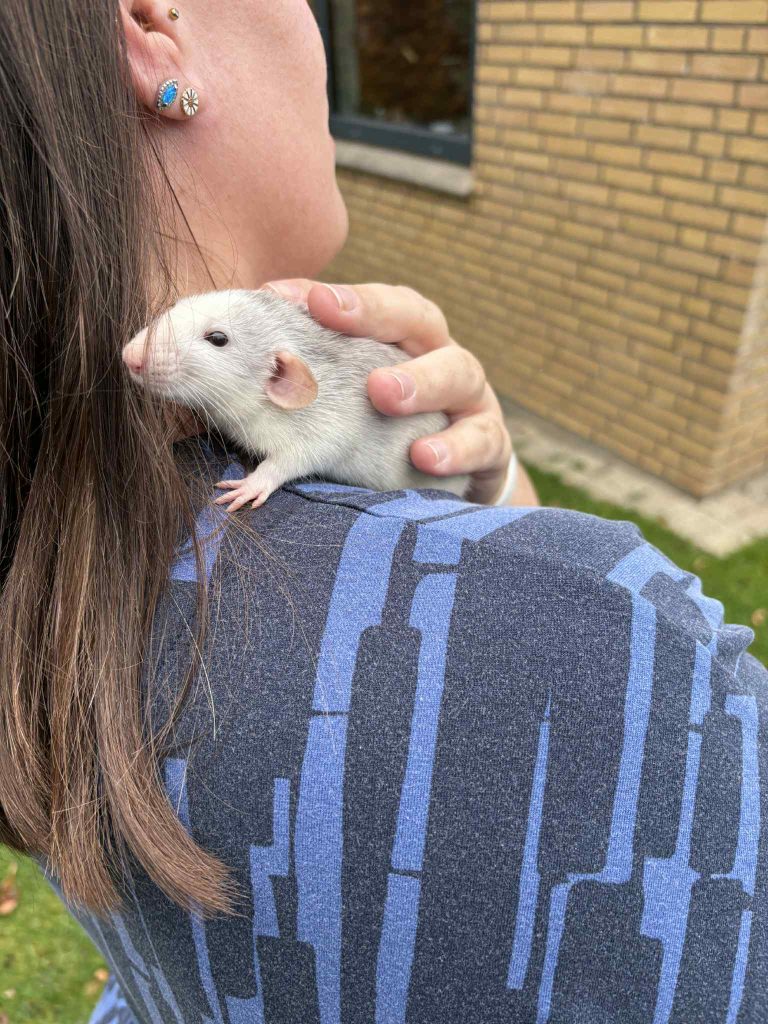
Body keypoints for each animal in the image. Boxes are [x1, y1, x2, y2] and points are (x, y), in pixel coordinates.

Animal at [122, 289, 469, 510]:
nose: (130, 356)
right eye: (176, 305)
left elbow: (313, 450)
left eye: (217, 339)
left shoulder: (331, 411)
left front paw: (255, 482)